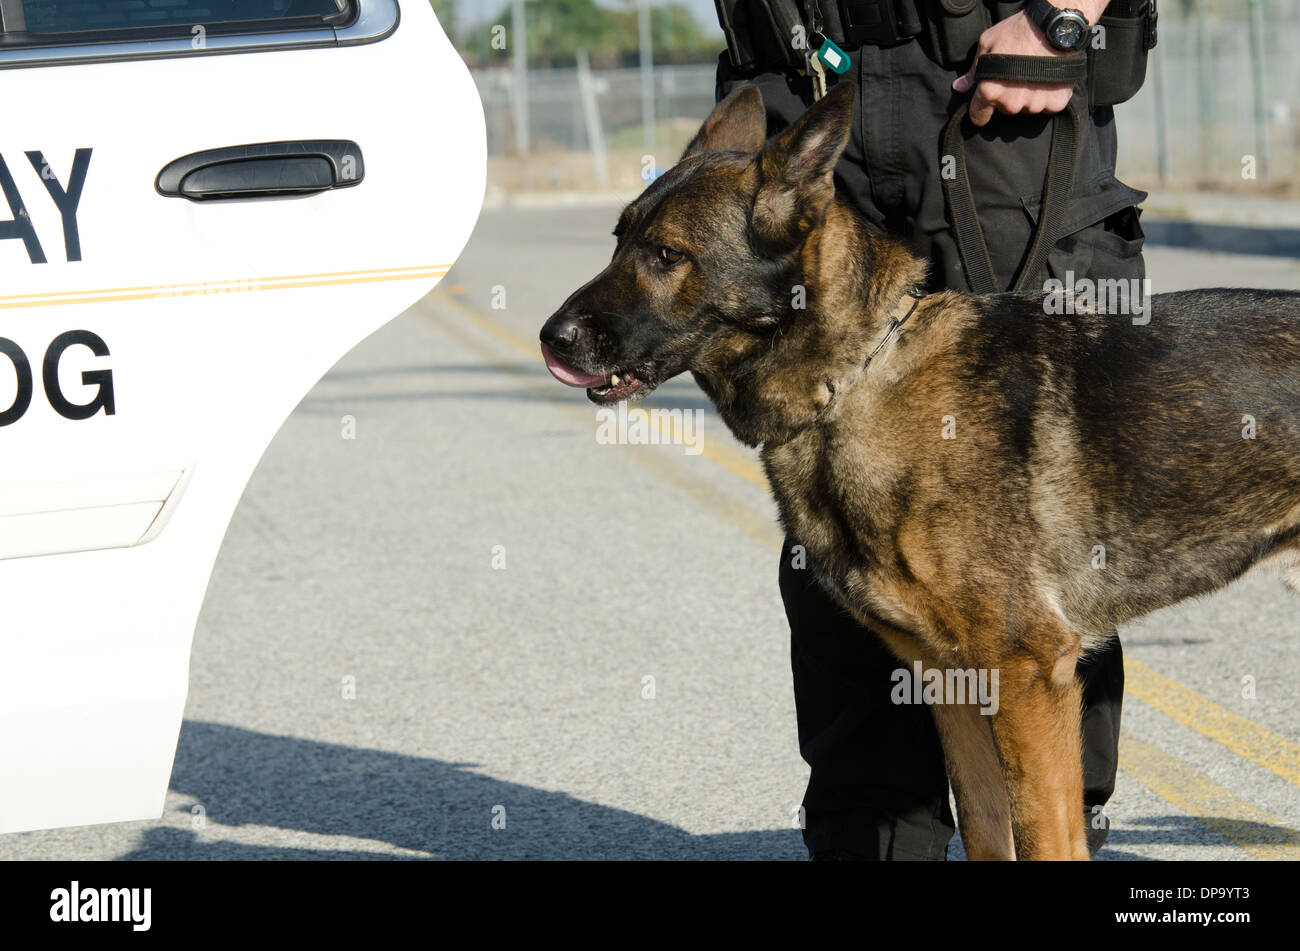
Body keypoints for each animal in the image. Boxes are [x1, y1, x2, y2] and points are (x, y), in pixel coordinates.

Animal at [538, 83, 1300, 862]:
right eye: (618, 241)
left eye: (667, 254)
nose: (551, 337)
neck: (856, 377)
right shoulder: (949, 680)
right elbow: (988, 827)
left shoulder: (1028, 672)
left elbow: (1045, 834)